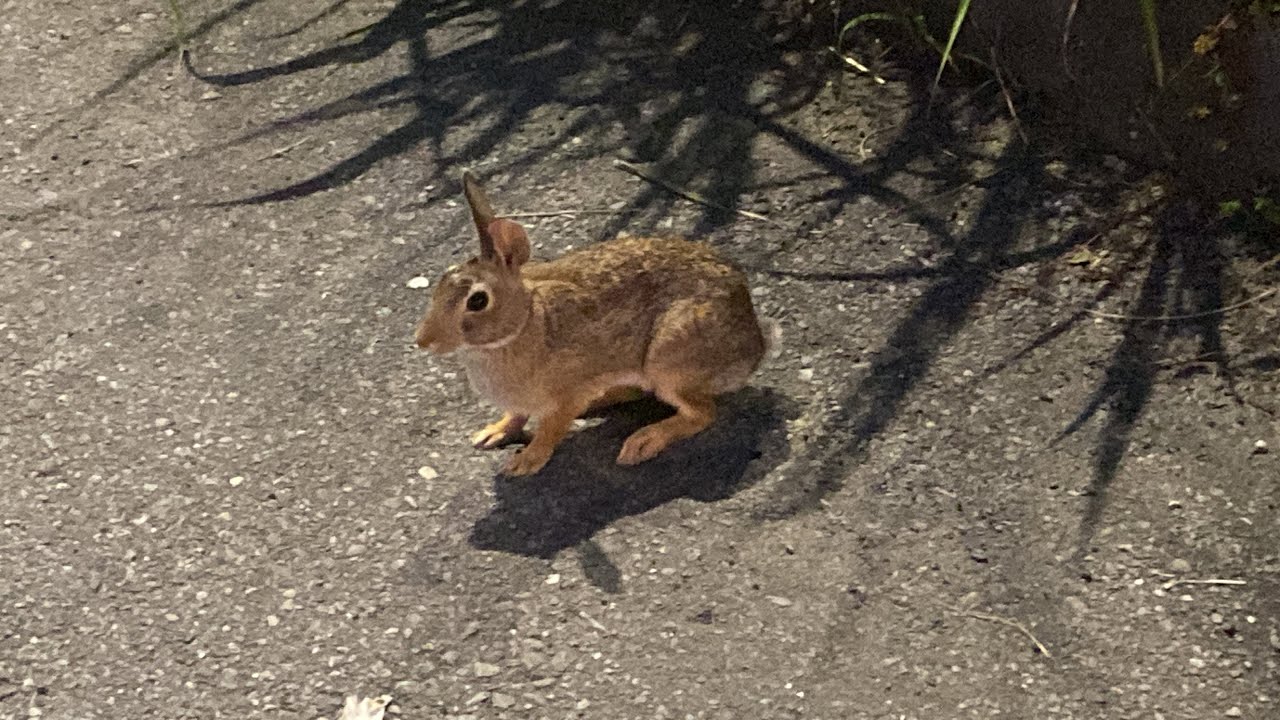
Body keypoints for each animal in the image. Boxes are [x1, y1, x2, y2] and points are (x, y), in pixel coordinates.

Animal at [414, 171, 775, 476]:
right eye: (441, 284)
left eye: (477, 301)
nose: (422, 341)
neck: (526, 321)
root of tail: (754, 344)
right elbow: (515, 417)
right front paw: (491, 433)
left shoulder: (568, 394)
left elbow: (551, 429)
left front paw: (526, 461)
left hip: (670, 360)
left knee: (702, 413)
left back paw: (643, 441)